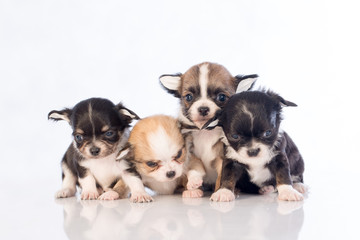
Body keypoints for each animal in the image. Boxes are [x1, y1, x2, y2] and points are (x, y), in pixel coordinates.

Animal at [159, 61, 258, 195]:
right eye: (189, 97)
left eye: (222, 97)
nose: (203, 109)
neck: (205, 131)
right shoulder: (190, 155)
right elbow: (193, 169)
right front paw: (192, 187)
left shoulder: (223, 159)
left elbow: (222, 177)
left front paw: (220, 192)